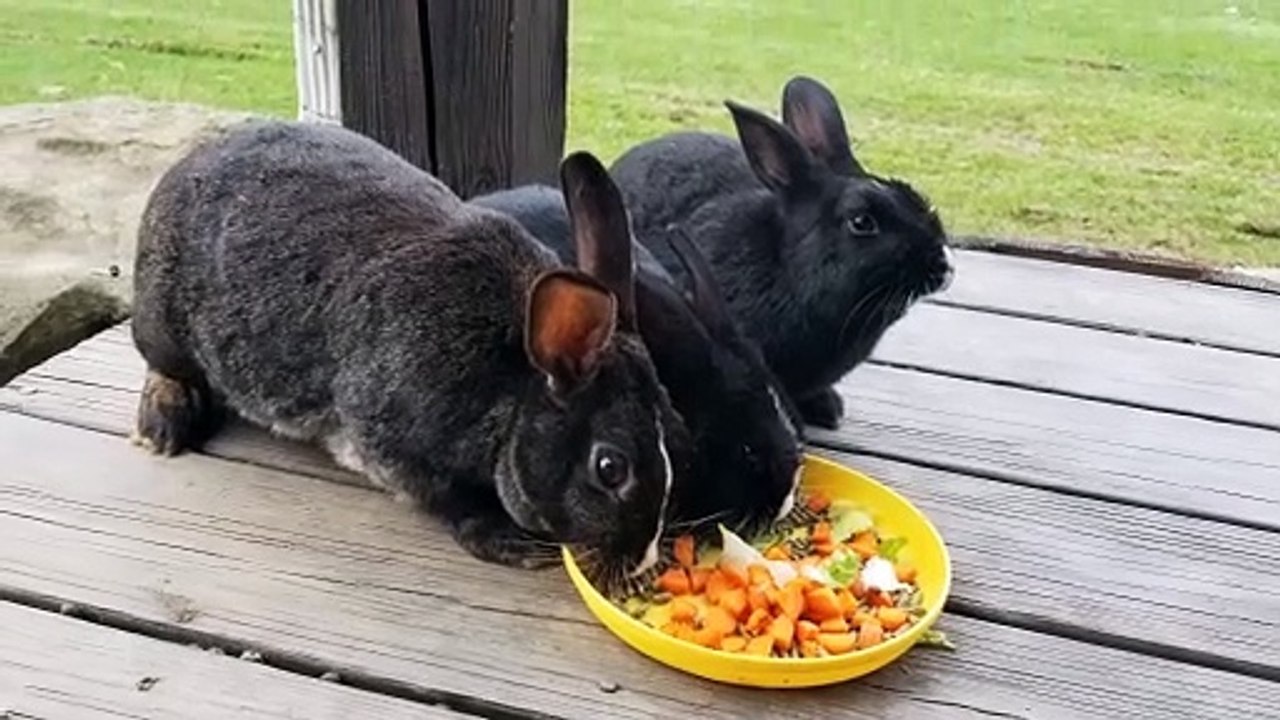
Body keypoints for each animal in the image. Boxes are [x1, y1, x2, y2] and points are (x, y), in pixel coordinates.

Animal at [129, 119, 688, 575]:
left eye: (676, 431)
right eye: (610, 468)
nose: (643, 561)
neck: (514, 383)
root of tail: (184, 168)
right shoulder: (394, 444)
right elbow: (446, 498)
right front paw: (509, 540)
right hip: (164, 322)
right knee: (162, 364)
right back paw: (164, 423)